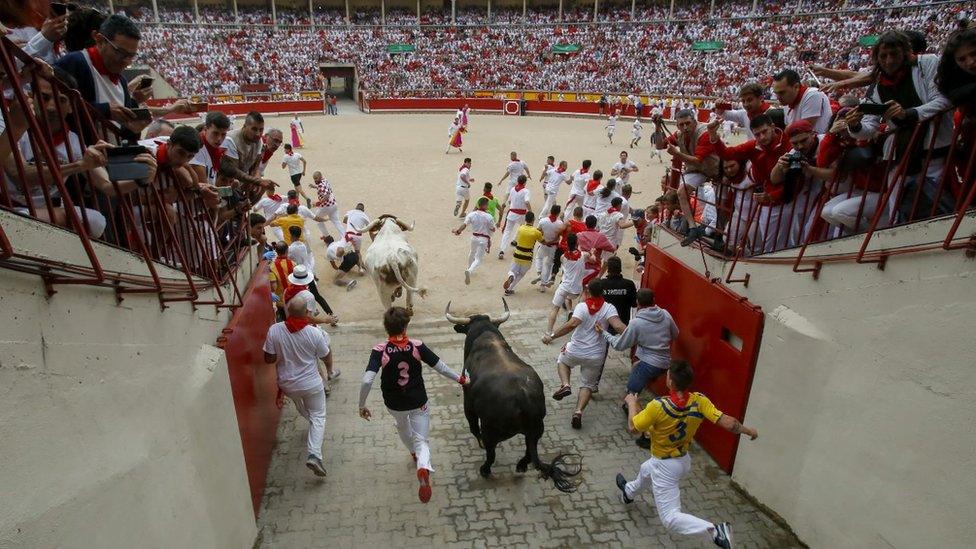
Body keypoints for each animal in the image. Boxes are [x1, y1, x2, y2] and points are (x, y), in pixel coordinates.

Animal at [448, 300, 584, 492]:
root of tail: (523, 397)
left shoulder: (468, 402)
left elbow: (473, 426)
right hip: (537, 428)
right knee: (529, 451)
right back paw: (521, 466)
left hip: (491, 430)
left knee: (491, 453)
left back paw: (485, 470)